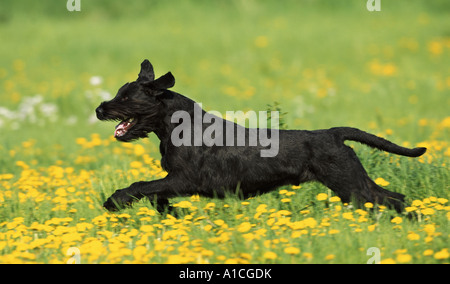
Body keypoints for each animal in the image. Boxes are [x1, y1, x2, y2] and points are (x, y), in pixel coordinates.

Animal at [95, 60, 426, 215]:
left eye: (126, 97)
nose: (99, 109)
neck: (176, 126)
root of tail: (333, 134)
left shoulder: (185, 179)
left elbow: (142, 186)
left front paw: (114, 201)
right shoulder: (176, 181)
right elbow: (154, 193)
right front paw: (171, 214)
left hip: (349, 184)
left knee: (387, 200)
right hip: (353, 181)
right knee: (394, 198)